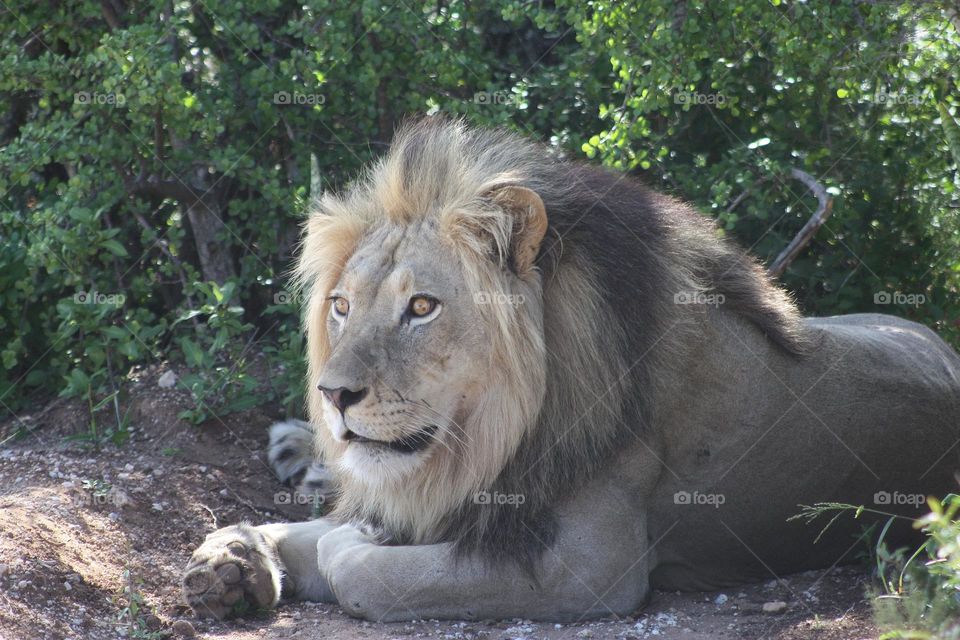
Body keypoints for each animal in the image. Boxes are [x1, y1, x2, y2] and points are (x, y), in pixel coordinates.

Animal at [184, 115, 960, 620]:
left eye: (423, 307)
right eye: (342, 306)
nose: (332, 395)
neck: (486, 441)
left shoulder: (589, 569)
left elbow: (363, 570)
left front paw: (347, 541)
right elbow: (301, 533)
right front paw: (235, 560)